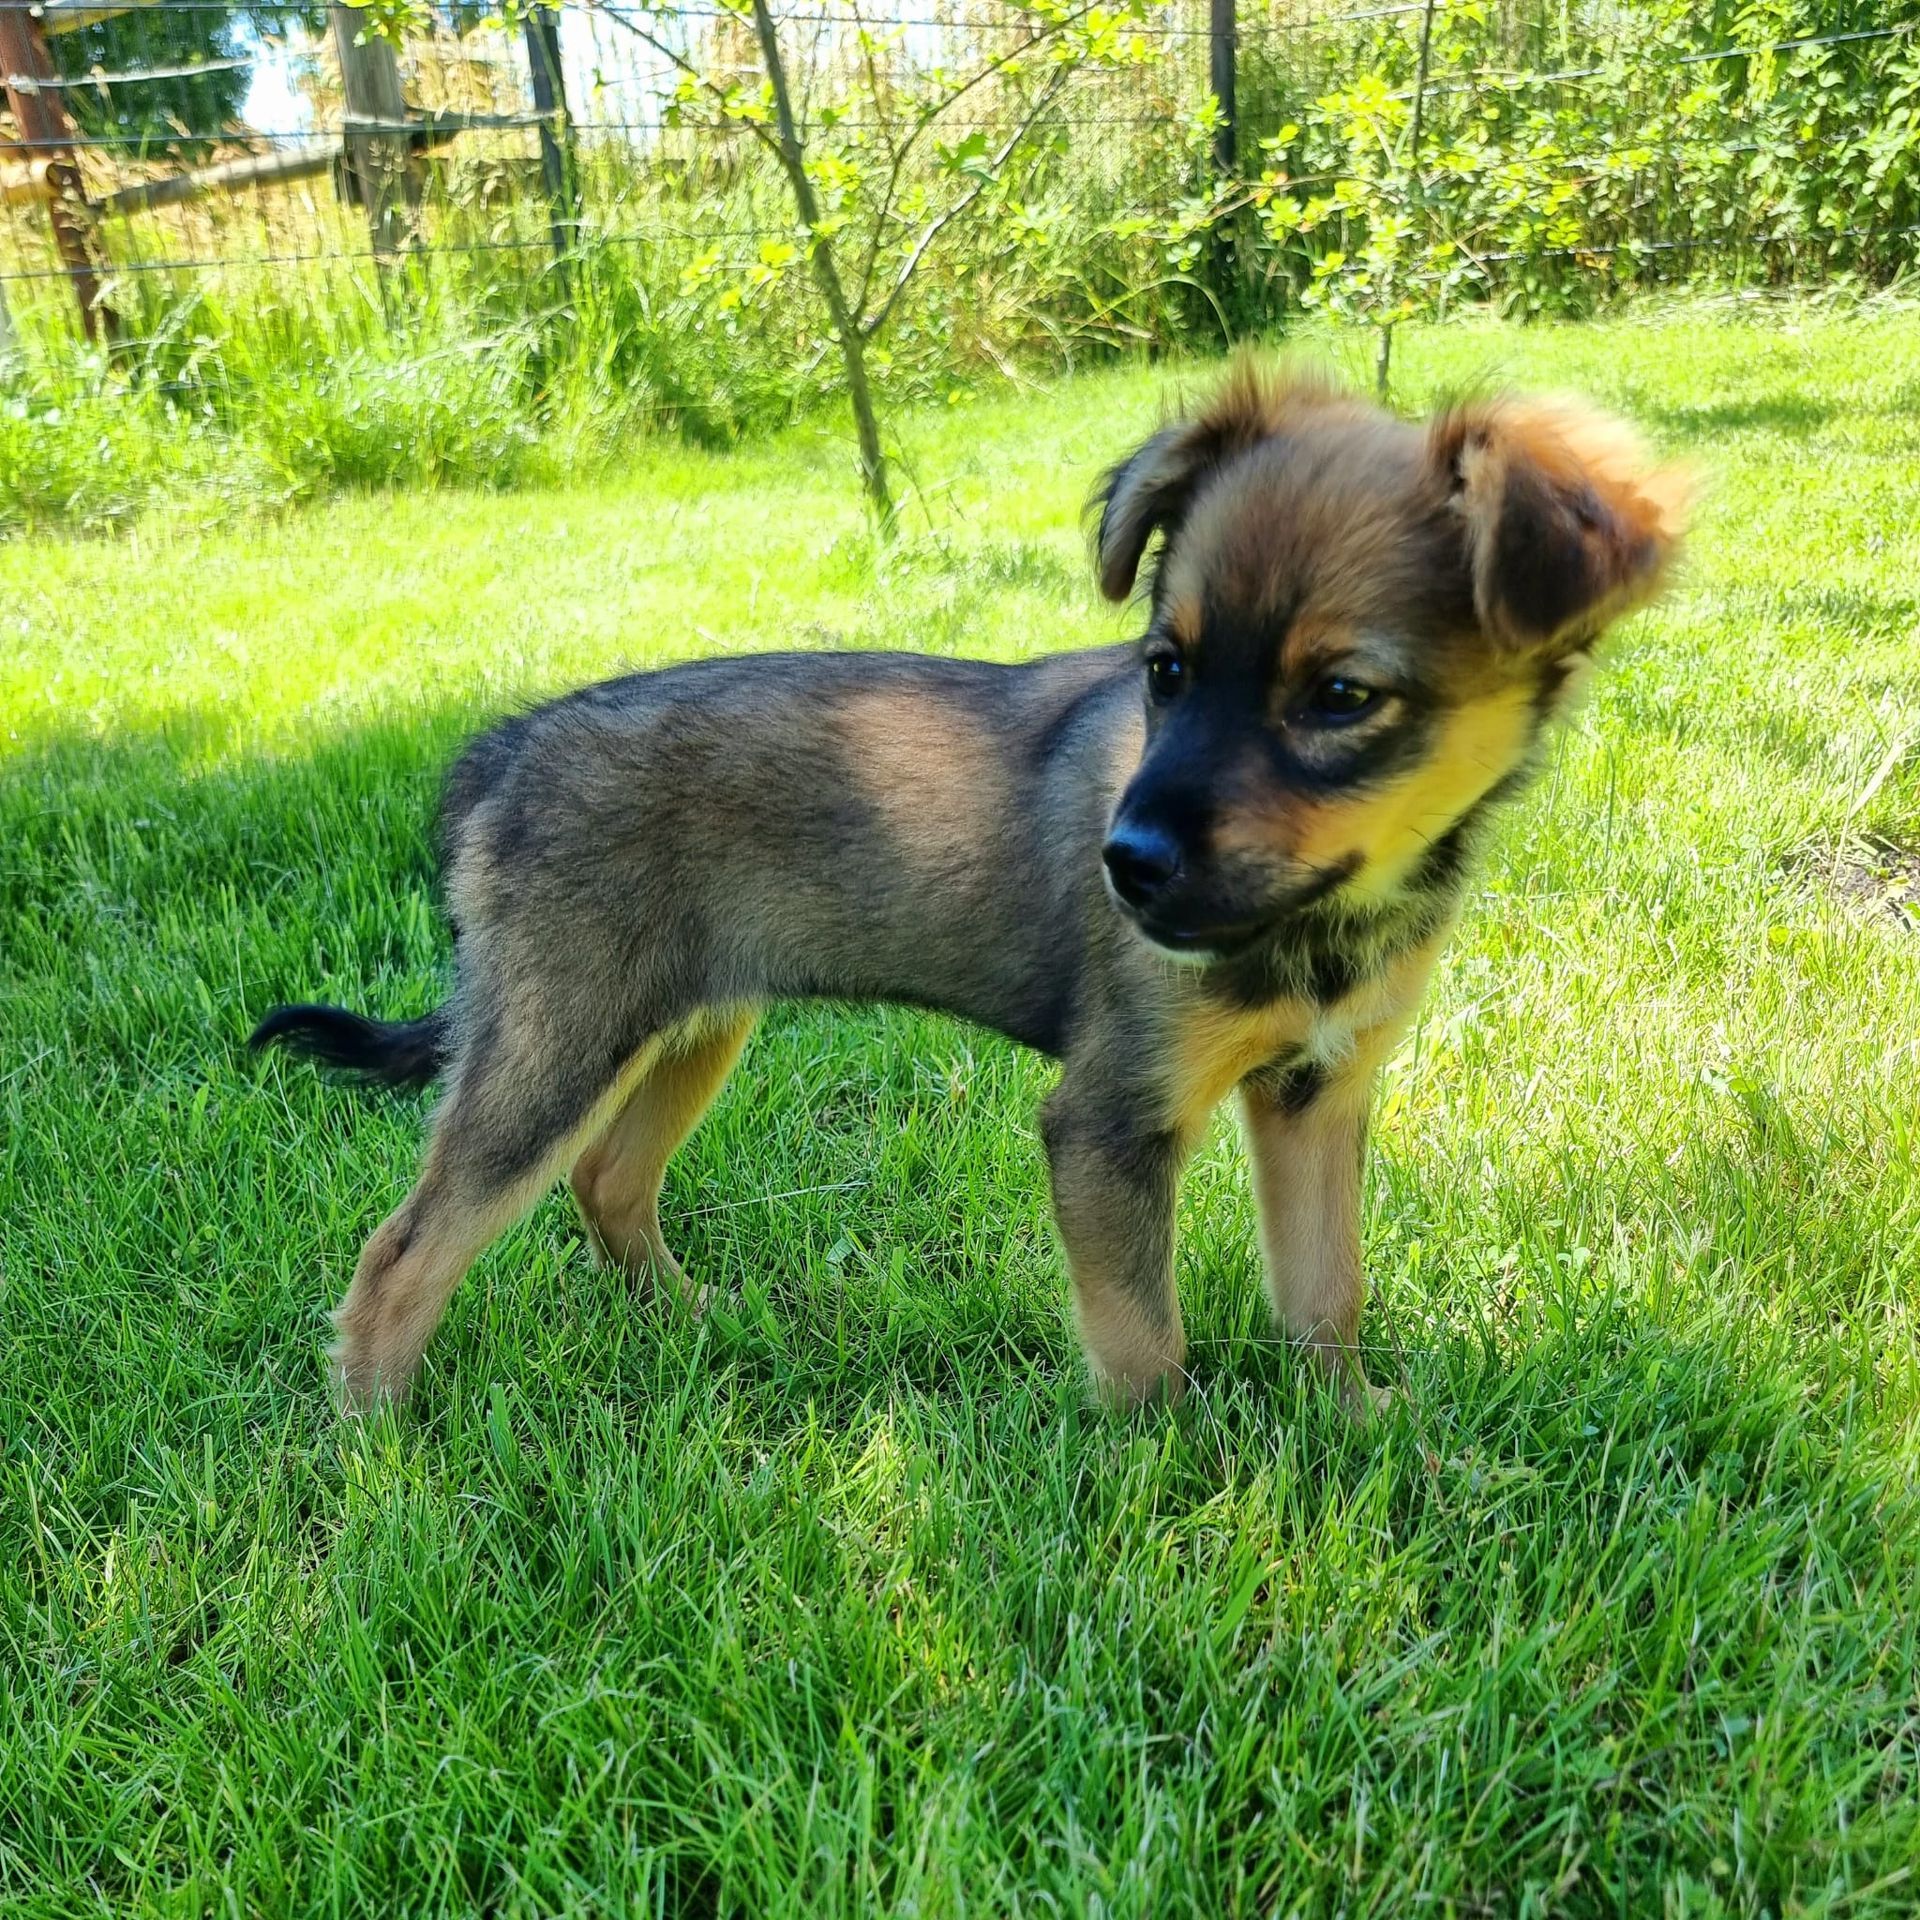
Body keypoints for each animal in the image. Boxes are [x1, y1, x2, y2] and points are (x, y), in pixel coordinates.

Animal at [252, 360, 1687, 1416]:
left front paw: (1358, 1430)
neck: (1324, 914)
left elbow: (1325, 1290)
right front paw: (1183, 1500)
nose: (1126, 868)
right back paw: (379, 1451)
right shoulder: (1107, 1121)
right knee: (406, 1251)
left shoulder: (1315, 1093)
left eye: (1342, 698)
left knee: (609, 1184)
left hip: (691, 1023)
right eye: (1166, 667)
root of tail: (501, 753)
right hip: (561, 1041)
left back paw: (695, 1324)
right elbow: (1145, 1345)